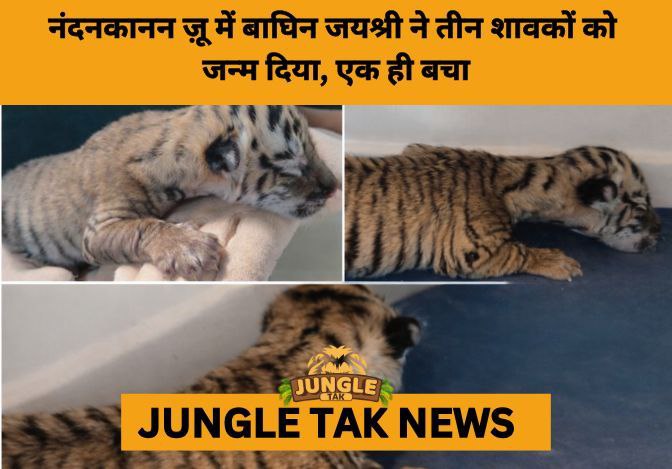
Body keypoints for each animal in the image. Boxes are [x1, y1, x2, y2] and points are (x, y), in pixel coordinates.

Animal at [2, 105, 338, 280]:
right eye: (290, 169)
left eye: (312, 147)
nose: (335, 187)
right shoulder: (99, 229)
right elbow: (141, 227)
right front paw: (192, 249)